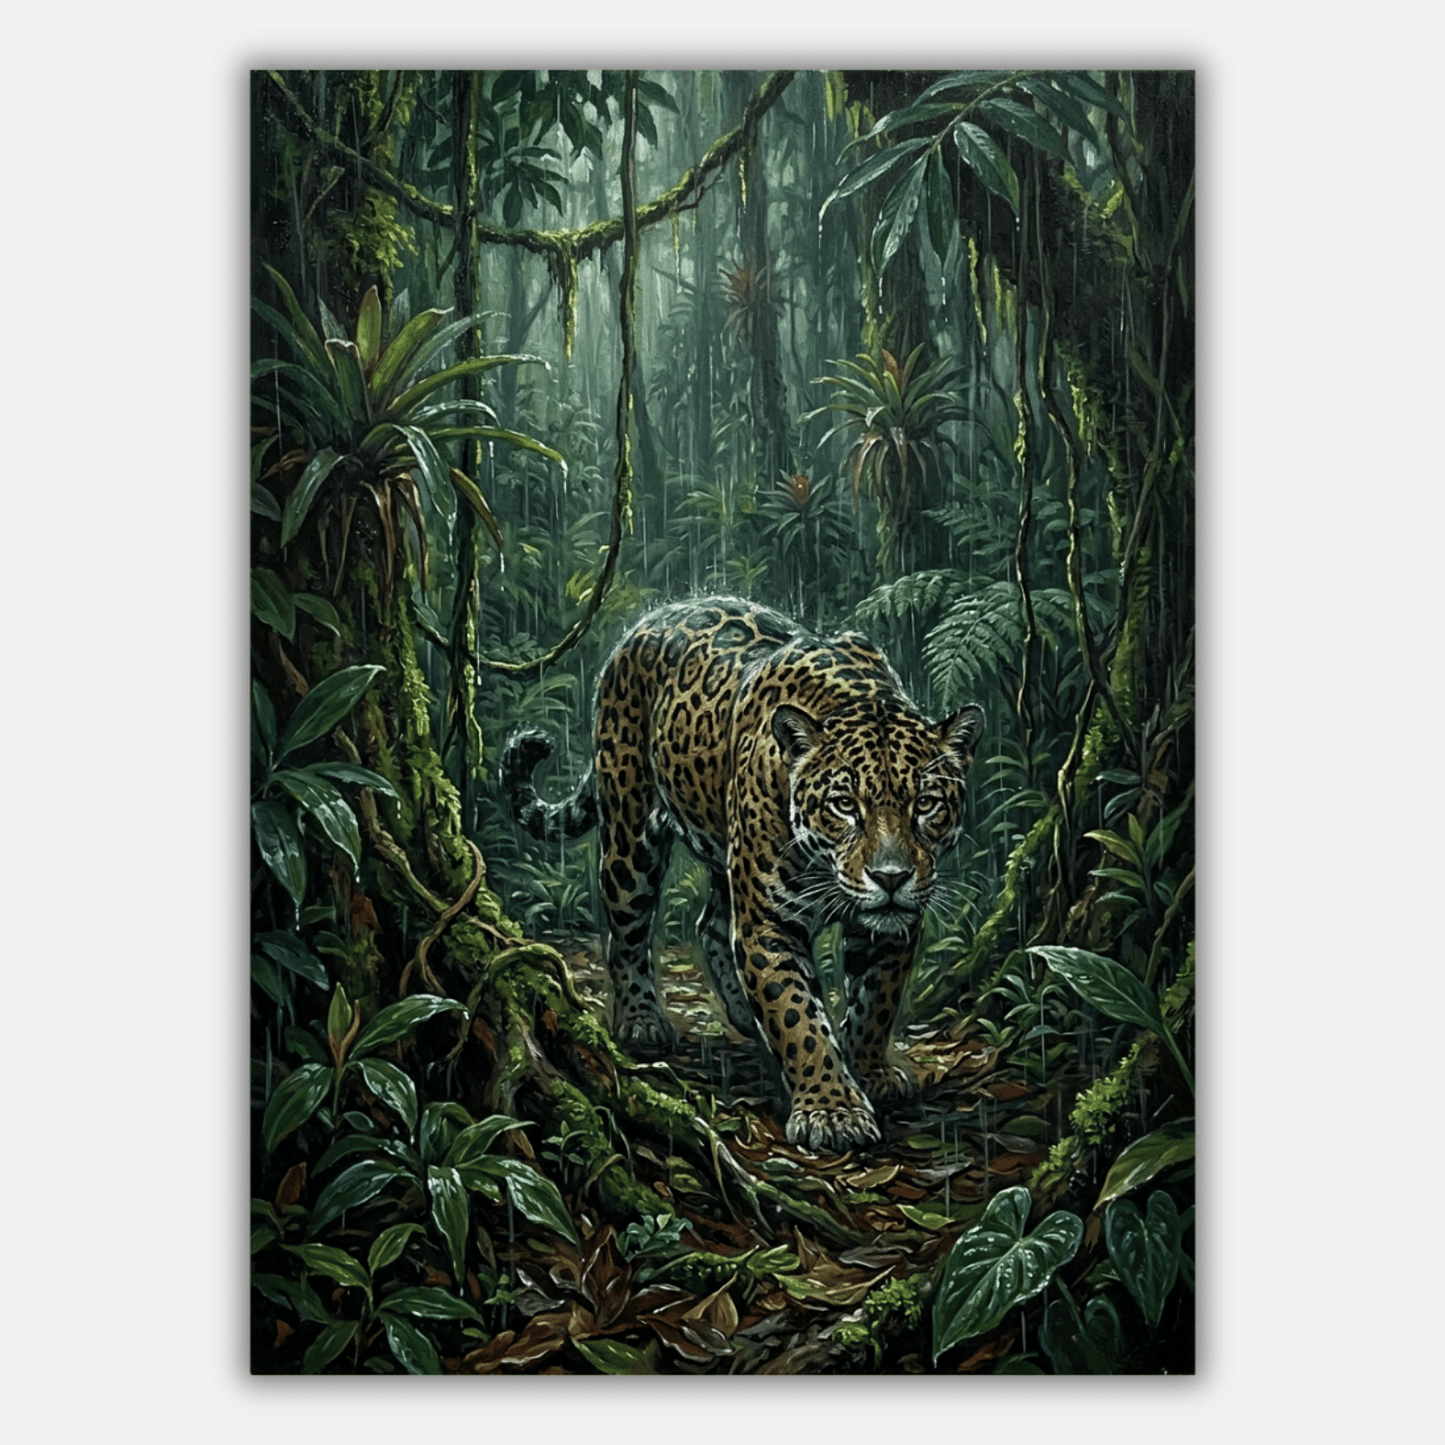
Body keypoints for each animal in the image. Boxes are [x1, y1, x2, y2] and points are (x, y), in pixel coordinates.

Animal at [500, 597, 983, 1154]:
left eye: (925, 804)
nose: (891, 878)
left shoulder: (893, 927)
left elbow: (875, 1002)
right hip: (631, 828)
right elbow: (798, 1017)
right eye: (844, 805)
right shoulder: (768, 924)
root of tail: (646, 623)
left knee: (709, 922)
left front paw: (869, 1071)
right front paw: (832, 1109)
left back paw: (738, 1011)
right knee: (626, 929)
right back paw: (641, 1021)